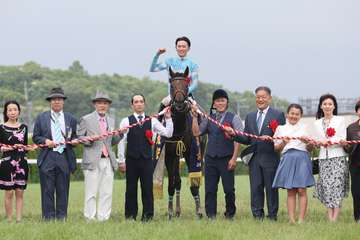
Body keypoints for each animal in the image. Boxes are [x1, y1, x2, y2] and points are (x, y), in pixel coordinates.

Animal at [164, 66, 204, 219]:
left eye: (186, 85)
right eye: (172, 85)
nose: (180, 104)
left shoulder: (191, 153)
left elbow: (194, 183)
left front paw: (199, 211)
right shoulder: (169, 155)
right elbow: (172, 183)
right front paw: (170, 212)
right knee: (177, 182)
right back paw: (177, 210)